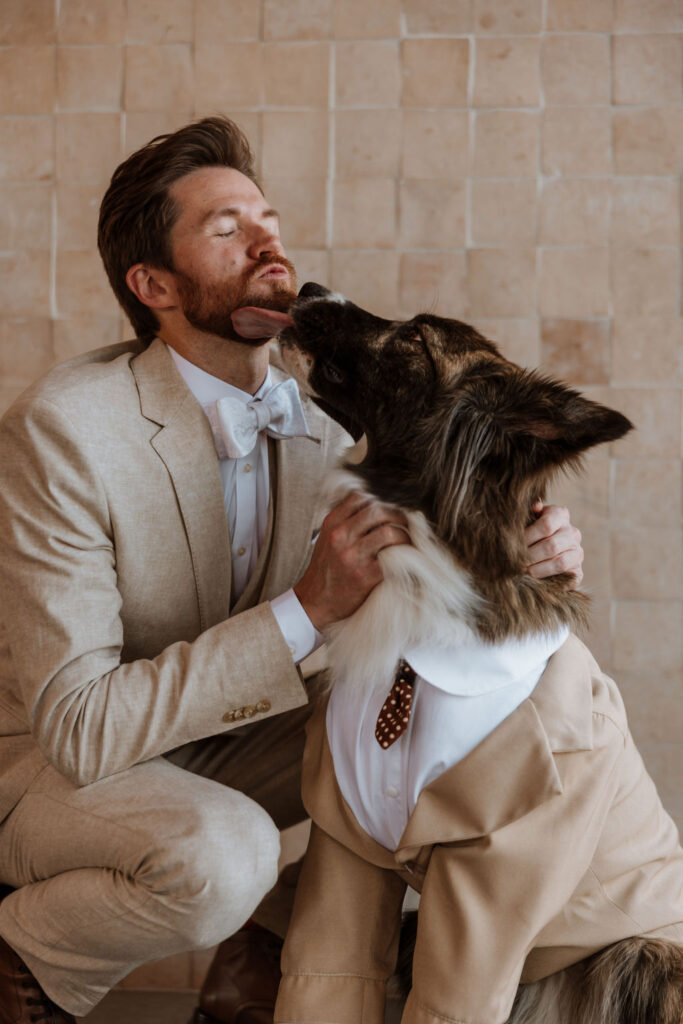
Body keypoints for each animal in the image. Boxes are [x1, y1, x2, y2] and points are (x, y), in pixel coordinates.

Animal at [264, 284, 683, 1024]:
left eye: (415, 340)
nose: (309, 288)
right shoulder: (344, 848)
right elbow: (326, 975)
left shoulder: (494, 886)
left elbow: (450, 1000)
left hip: (639, 953)